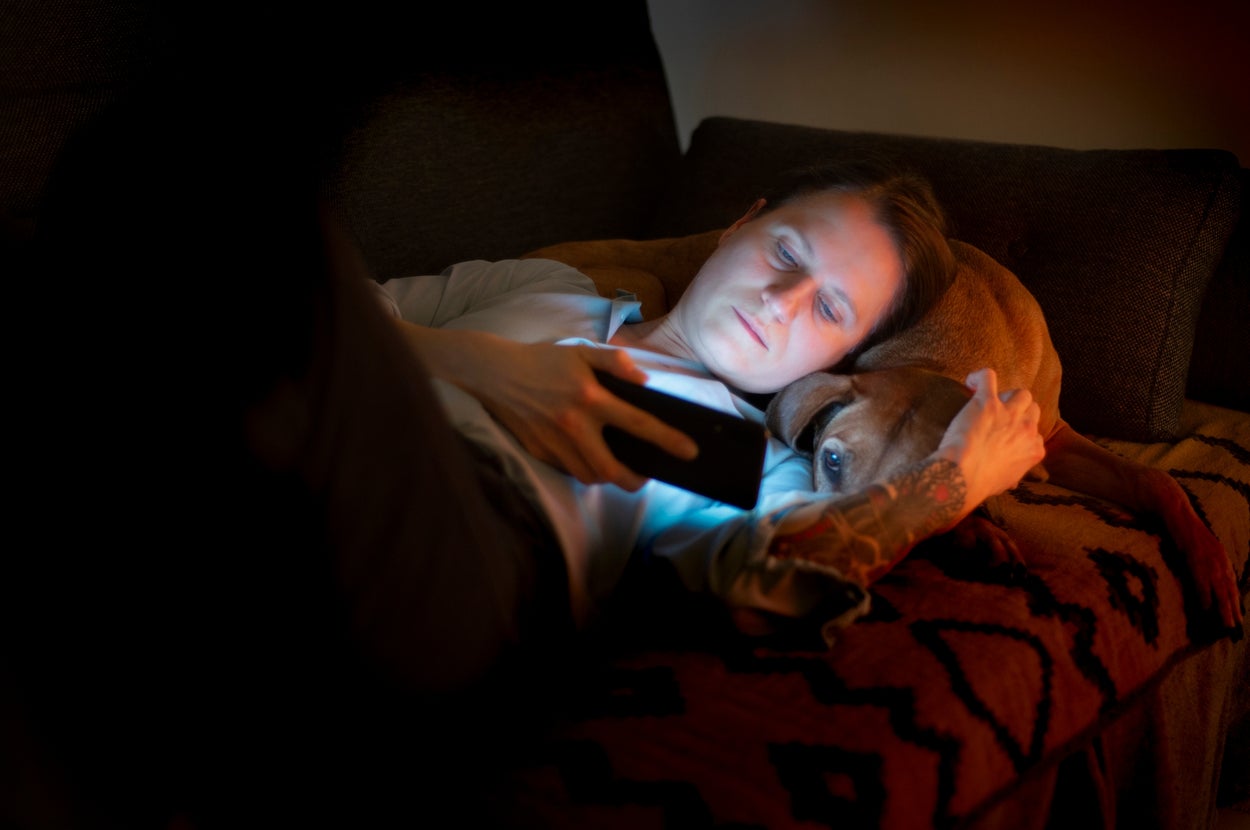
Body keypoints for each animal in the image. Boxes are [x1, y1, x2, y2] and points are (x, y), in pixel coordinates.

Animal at [765, 239, 1240, 628]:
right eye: (830, 461)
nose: (809, 595)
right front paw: (979, 533)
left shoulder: (1053, 439)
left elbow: (1154, 478)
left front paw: (1212, 561)